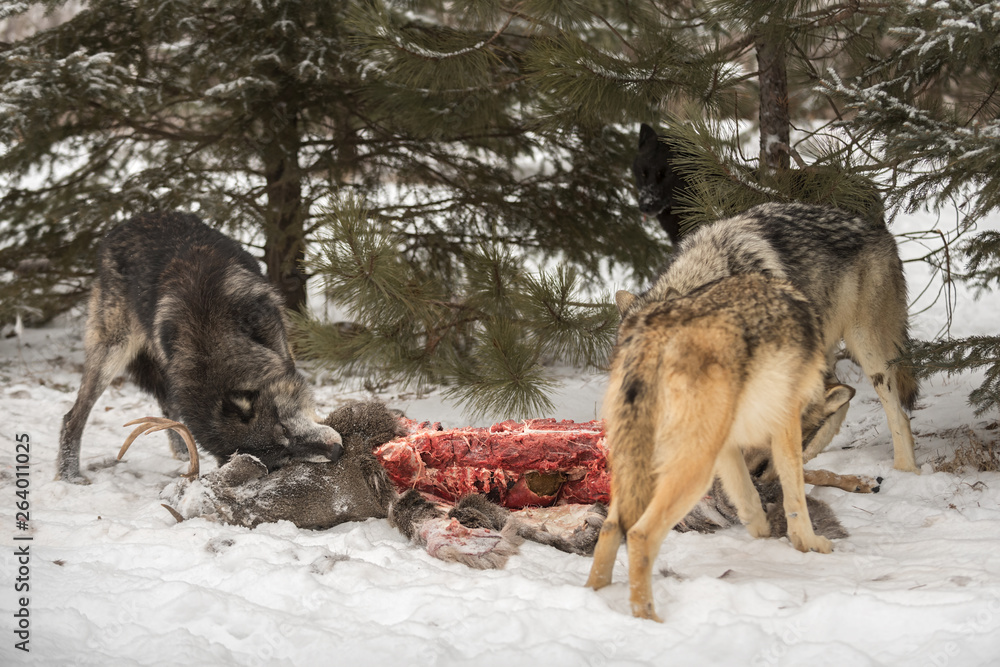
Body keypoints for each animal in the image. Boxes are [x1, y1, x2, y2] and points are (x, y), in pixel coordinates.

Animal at [57, 211, 342, 483]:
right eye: (284, 459)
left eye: (284, 428)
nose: (337, 452)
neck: (211, 340)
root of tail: (123, 225)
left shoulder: (280, 347)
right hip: (113, 353)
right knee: (73, 416)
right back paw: (68, 474)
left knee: (165, 406)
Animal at [587, 273, 833, 621]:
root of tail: (654, 335)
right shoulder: (786, 419)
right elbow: (795, 494)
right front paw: (808, 543)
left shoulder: (726, 442)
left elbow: (746, 494)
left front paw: (761, 531)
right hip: (692, 472)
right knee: (639, 534)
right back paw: (648, 617)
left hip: (637, 464)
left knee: (610, 529)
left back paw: (592, 595)